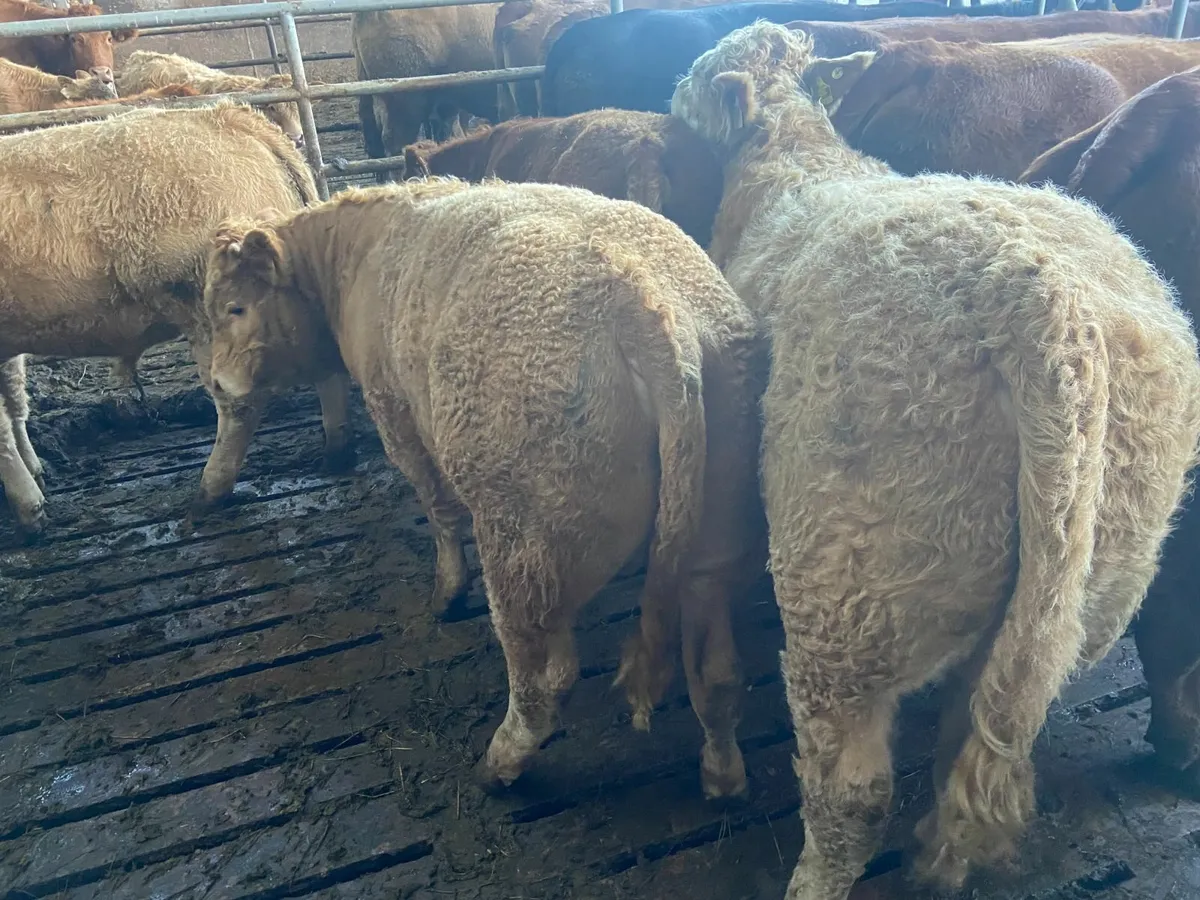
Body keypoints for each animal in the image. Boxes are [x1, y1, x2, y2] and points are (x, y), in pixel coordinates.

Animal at [0, 102, 354, 537]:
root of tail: (236, 120)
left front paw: (29, 509)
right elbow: (14, 402)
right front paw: (36, 472)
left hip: (213, 313)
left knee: (239, 404)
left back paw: (208, 493)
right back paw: (337, 452)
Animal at [199, 178, 767, 799]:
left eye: (235, 308)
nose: (217, 383)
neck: (353, 258)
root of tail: (650, 307)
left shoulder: (394, 410)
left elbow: (437, 508)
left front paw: (447, 593)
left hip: (523, 534)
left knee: (543, 675)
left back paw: (500, 763)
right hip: (715, 525)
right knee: (715, 670)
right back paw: (722, 775)